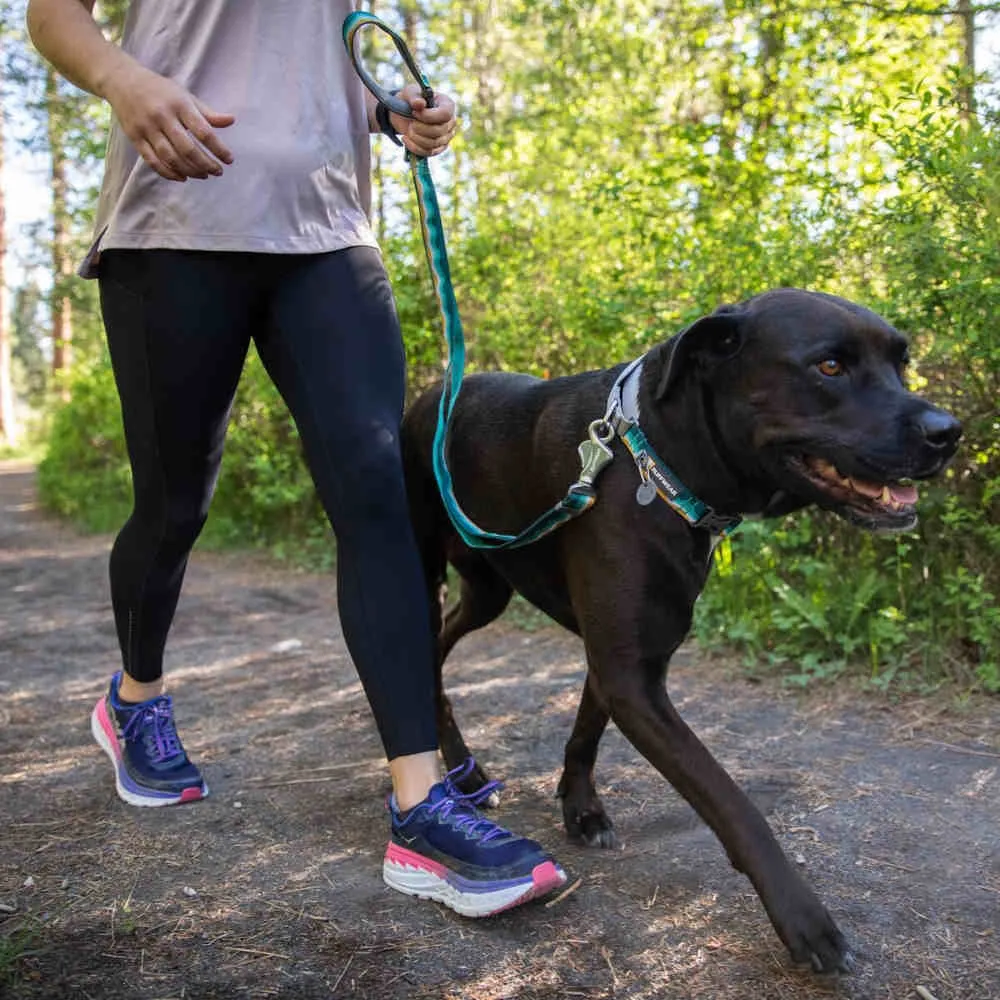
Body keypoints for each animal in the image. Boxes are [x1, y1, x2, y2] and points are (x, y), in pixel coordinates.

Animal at [398, 288, 960, 968]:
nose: (950, 433)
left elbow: (585, 733)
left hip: (488, 590)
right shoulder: (632, 678)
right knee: (424, 654)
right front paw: (804, 919)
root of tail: (429, 395)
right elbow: (731, 801)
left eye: (902, 362)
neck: (656, 461)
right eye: (830, 366)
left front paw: (581, 810)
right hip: (420, 571)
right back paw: (463, 771)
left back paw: (467, 767)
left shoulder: (627, 661)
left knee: (443, 646)